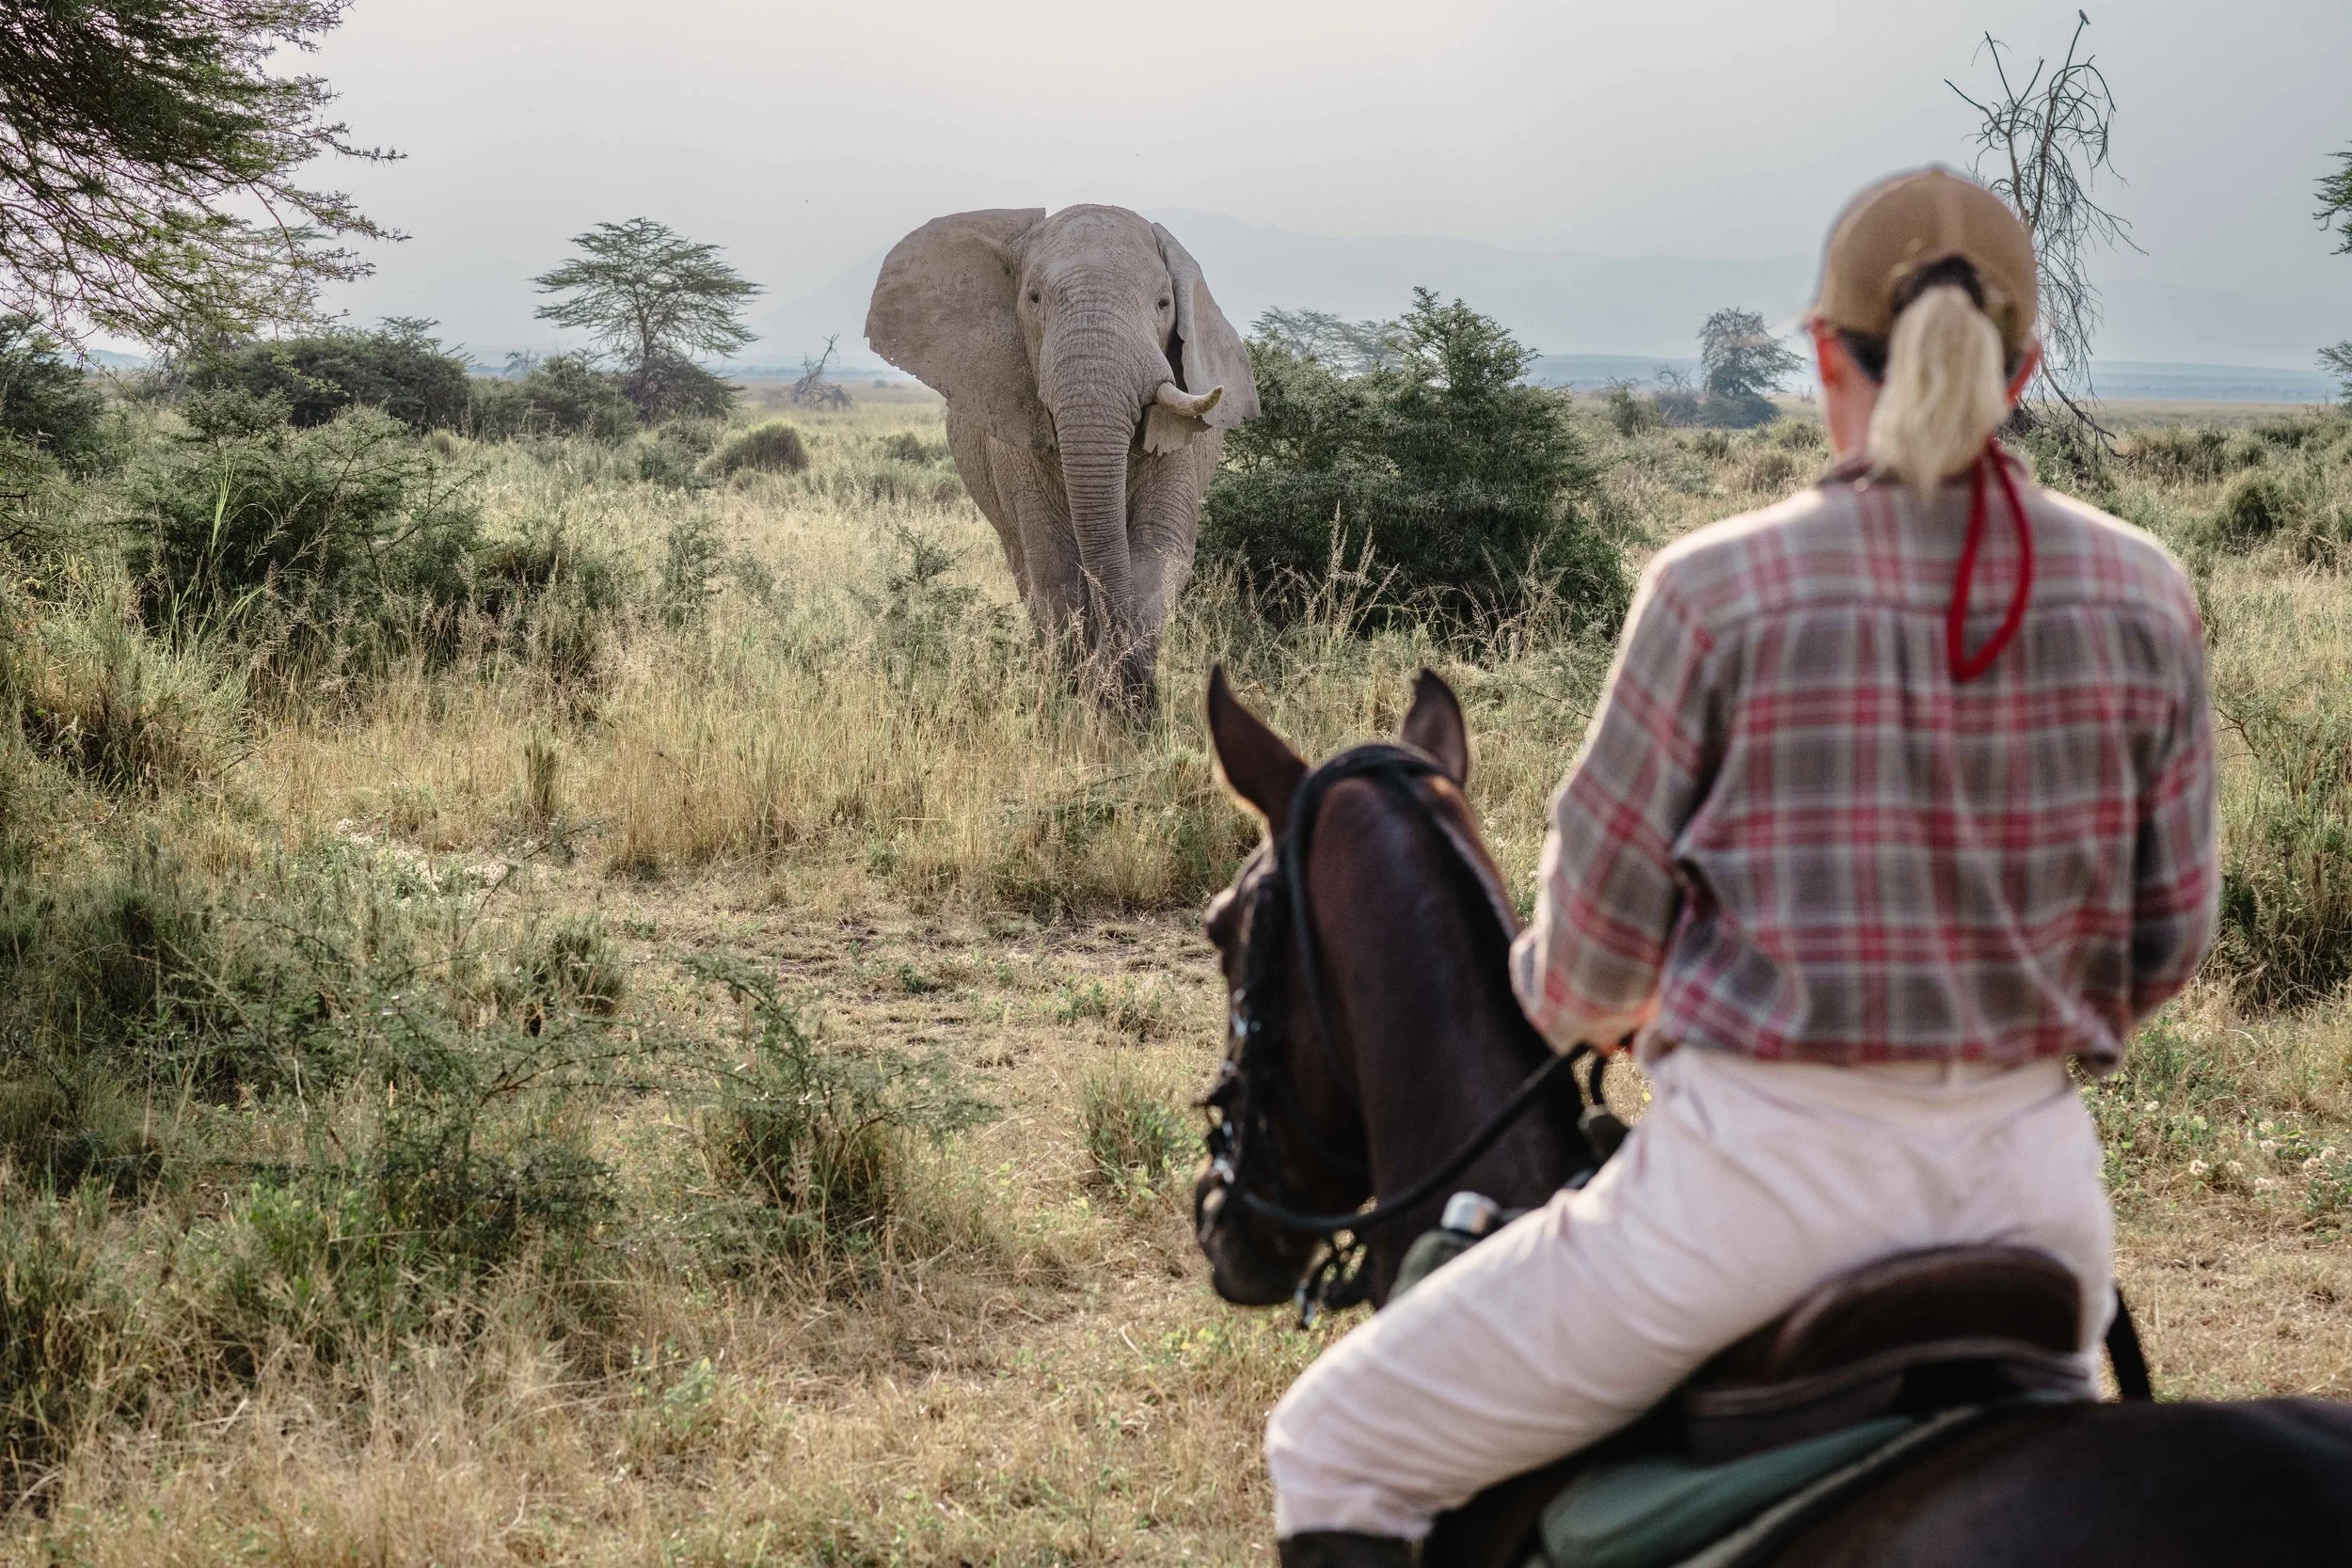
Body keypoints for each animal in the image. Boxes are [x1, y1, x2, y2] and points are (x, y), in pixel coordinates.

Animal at [865, 205, 1258, 709]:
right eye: (1033, 299)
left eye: (1163, 304)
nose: (1140, 695)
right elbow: (1055, 563)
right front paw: (1078, 699)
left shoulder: (1180, 451)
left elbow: (1159, 552)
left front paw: (1121, 702)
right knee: (1025, 566)